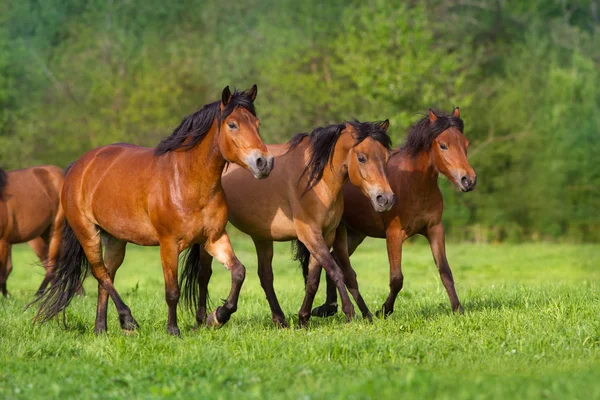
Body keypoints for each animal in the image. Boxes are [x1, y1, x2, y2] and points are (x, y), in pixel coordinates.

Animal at [34, 86, 274, 336]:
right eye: (233, 124)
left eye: (257, 123)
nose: (264, 162)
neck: (186, 181)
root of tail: (79, 167)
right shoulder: (169, 244)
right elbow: (172, 291)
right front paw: (173, 330)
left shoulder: (213, 238)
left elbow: (238, 272)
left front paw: (217, 316)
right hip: (88, 233)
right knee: (100, 273)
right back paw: (128, 320)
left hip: (116, 240)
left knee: (106, 276)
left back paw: (101, 328)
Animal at [183, 119, 398, 328]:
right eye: (362, 158)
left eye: (386, 158)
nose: (385, 199)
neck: (315, 181)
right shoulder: (310, 234)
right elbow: (336, 271)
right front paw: (349, 313)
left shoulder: (326, 235)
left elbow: (313, 279)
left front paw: (303, 319)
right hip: (213, 235)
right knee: (204, 274)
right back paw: (205, 319)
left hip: (261, 236)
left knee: (265, 276)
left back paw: (279, 319)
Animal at [308, 107, 476, 318]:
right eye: (443, 145)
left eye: (466, 143)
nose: (468, 180)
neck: (415, 185)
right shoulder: (394, 234)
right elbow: (397, 279)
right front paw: (384, 310)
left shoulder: (435, 229)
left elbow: (445, 271)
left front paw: (458, 309)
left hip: (355, 234)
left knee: (335, 260)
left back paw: (327, 307)